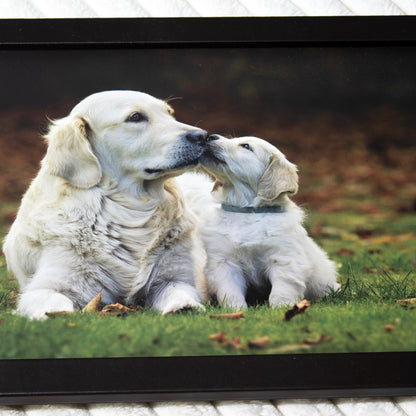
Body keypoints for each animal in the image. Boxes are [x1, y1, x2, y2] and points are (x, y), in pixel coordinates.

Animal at [3, 90, 210, 318]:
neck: (130, 211)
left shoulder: (174, 277)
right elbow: (55, 306)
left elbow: (178, 290)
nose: (203, 136)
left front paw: (184, 307)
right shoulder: (45, 287)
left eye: (169, 113)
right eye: (135, 117)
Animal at [177, 135, 340, 308]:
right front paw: (235, 309)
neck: (246, 211)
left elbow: (281, 290)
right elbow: (230, 291)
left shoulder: (284, 259)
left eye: (246, 146)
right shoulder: (224, 262)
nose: (211, 136)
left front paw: (280, 308)